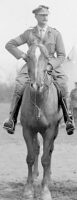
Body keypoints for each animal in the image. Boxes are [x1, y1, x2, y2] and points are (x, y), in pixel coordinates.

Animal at [20, 43, 62, 199]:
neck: (39, 100)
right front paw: (28, 189)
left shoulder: (49, 131)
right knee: (37, 149)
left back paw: (48, 178)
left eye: (46, 57)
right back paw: (35, 175)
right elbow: (30, 157)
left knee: (49, 152)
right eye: (28, 57)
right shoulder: (27, 130)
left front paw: (45, 191)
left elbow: (45, 159)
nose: (37, 85)